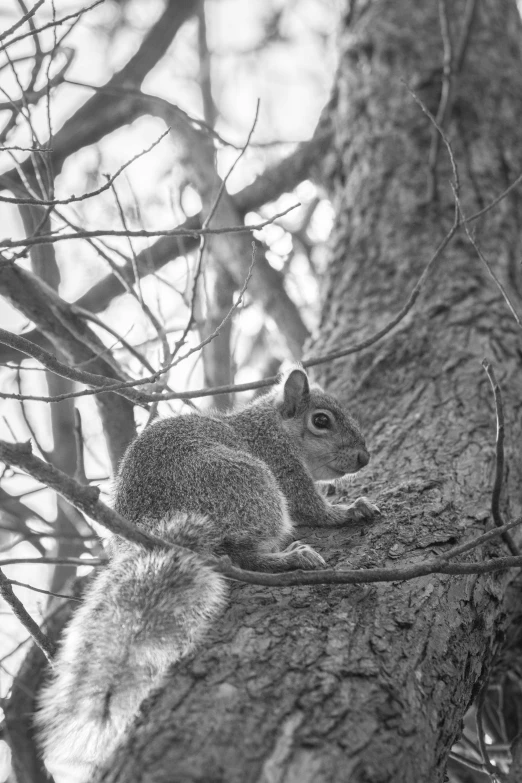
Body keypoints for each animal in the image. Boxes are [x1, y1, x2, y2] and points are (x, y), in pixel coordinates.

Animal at [35, 370, 378, 783]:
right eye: (322, 421)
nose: (364, 457)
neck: (271, 426)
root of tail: (157, 526)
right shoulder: (282, 466)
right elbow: (313, 509)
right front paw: (349, 509)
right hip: (251, 484)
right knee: (244, 555)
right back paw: (290, 558)